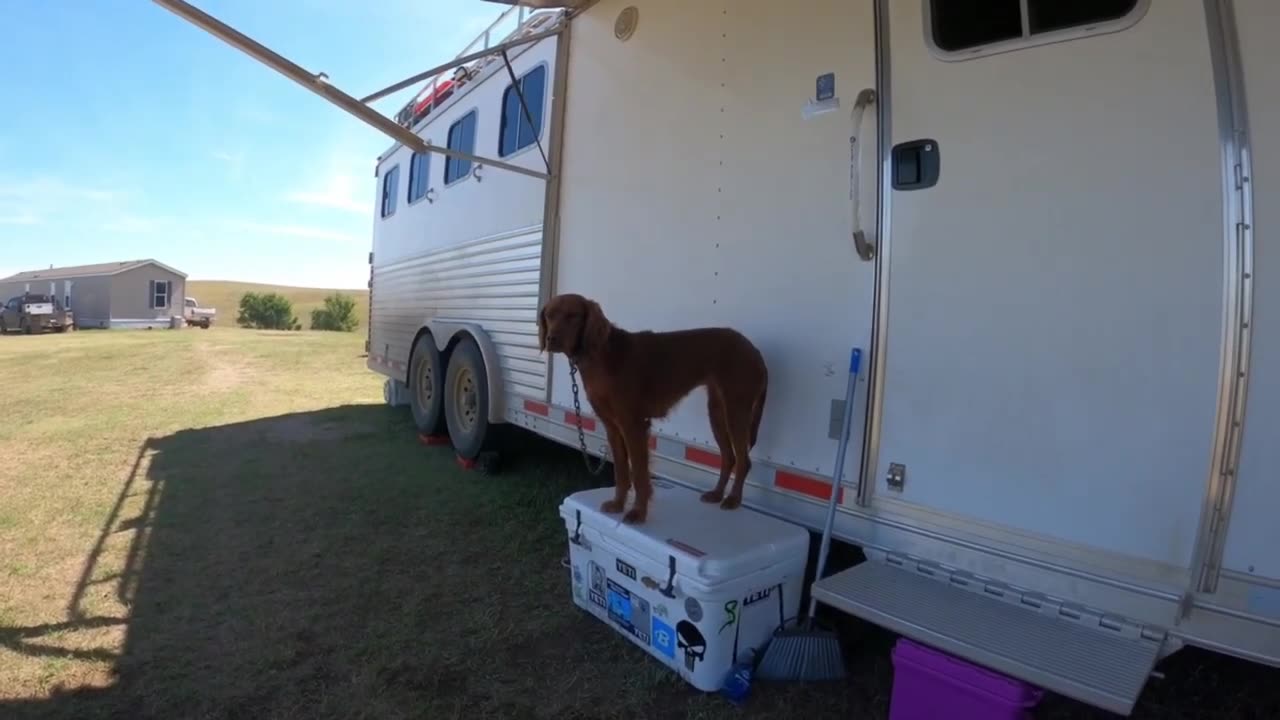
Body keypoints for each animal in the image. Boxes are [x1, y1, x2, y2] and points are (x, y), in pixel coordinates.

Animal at [535, 292, 762, 520]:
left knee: (744, 460)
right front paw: (618, 504)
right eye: (549, 315)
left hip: (736, 410)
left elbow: (638, 473)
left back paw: (733, 499)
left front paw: (637, 512)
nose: (551, 339)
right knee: (729, 457)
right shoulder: (612, 427)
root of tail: (752, 347)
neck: (602, 356)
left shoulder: (633, 425)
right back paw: (716, 494)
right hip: (716, 413)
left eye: (572, 316)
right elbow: (621, 472)